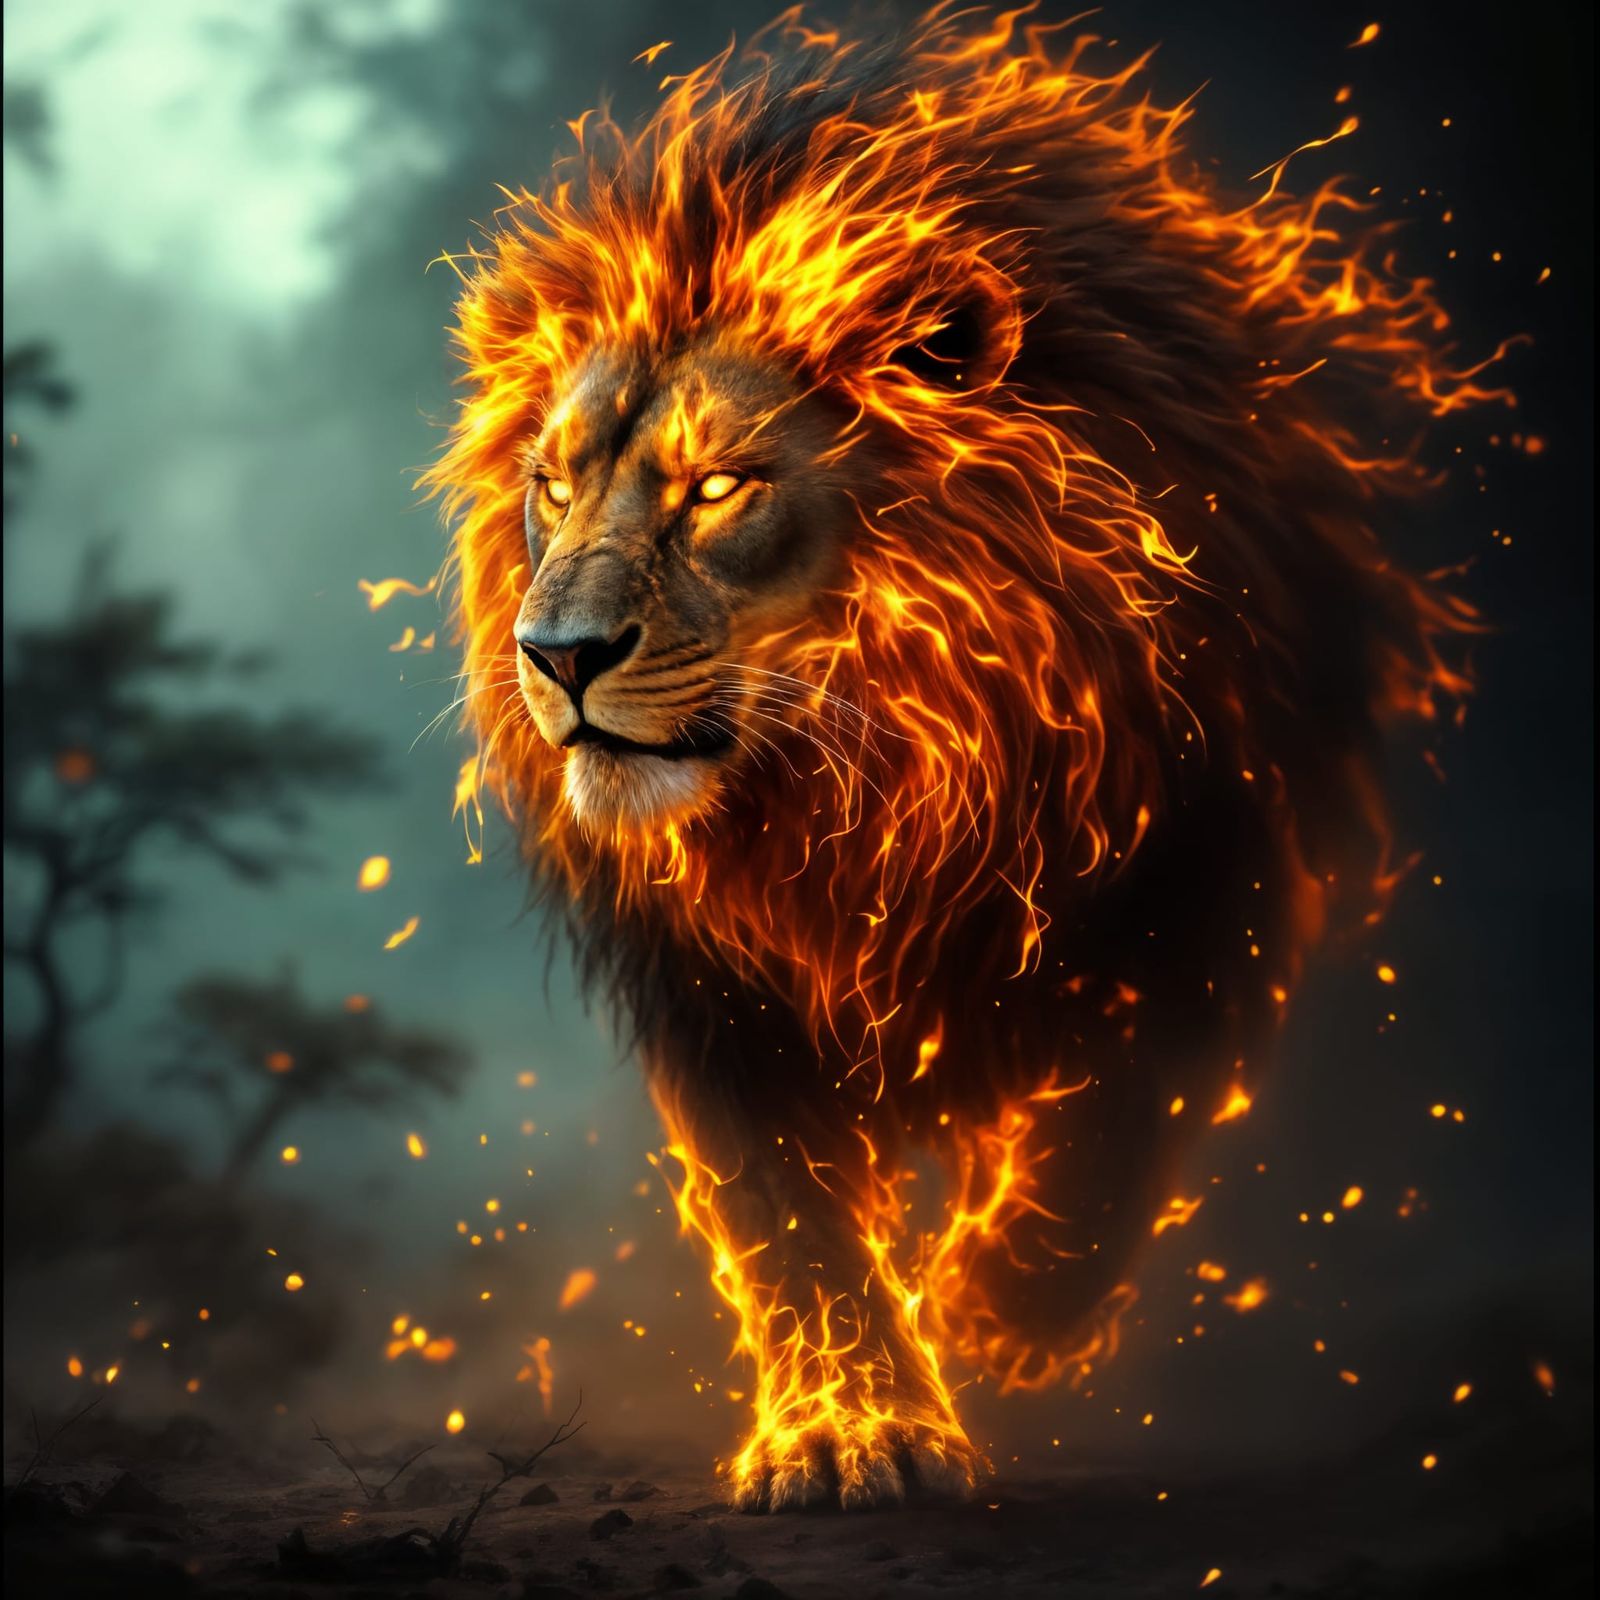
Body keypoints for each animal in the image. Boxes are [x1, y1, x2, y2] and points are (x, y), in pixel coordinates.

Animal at [425, 10, 1501, 1511]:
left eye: (719, 486)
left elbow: (1119, 1103)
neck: (879, 763)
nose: (557, 655)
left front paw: (1000, 1306)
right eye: (554, 484)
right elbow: (791, 1221)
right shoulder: (711, 984)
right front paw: (851, 1428)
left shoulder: (1205, 858)